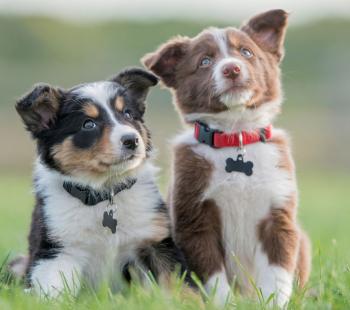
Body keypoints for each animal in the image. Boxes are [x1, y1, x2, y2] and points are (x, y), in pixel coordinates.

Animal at [13, 68, 193, 298]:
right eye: (88, 124)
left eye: (127, 114)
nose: (132, 140)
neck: (104, 192)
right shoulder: (56, 251)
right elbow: (53, 290)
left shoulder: (155, 240)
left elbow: (182, 286)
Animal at [142, 9, 312, 306]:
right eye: (205, 61)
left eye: (246, 52)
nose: (231, 68)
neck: (235, 137)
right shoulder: (195, 220)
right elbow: (214, 276)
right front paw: (226, 304)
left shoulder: (278, 215)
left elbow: (278, 273)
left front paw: (273, 303)